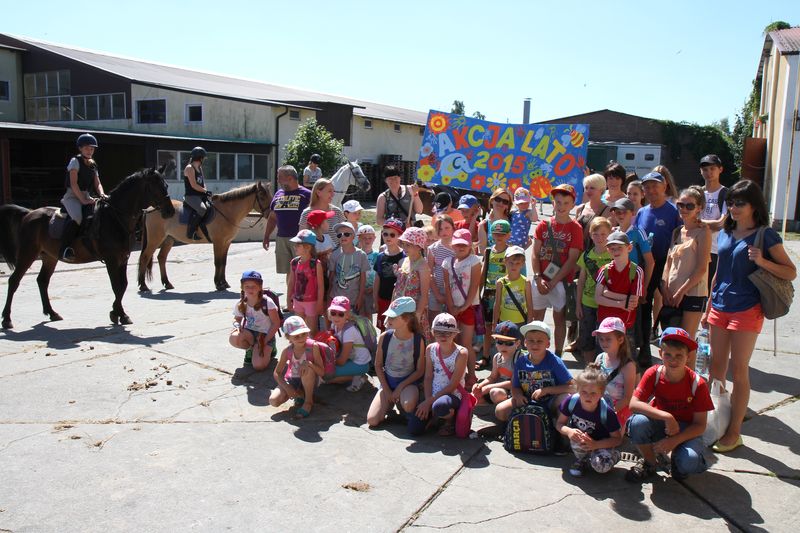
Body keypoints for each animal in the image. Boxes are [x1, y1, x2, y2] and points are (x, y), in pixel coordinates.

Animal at [0, 164, 175, 328]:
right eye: (155, 187)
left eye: (166, 185)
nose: (170, 211)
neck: (115, 217)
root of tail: (29, 213)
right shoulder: (111, 259)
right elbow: (116, 286)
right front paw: (117, 314)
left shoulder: (123, 258)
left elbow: (123, 285)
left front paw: (119, 314)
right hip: (27, 254)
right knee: (14, 281)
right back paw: (7, 319)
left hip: (49, 257)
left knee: (42, 281)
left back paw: (52, 313)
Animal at [138, 182, 272, 290]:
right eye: (262, 196)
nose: (270, 213)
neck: (227, 212)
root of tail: (150, 209)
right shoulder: (218, 242)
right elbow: (218, 262)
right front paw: (218, 284)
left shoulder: (226, 243)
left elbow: (224, 262)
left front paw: (224, 283)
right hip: (154, 240)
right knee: (144, 258)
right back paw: (143, 286)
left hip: (168, 239)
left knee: (161, 258)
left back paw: (167, 283)